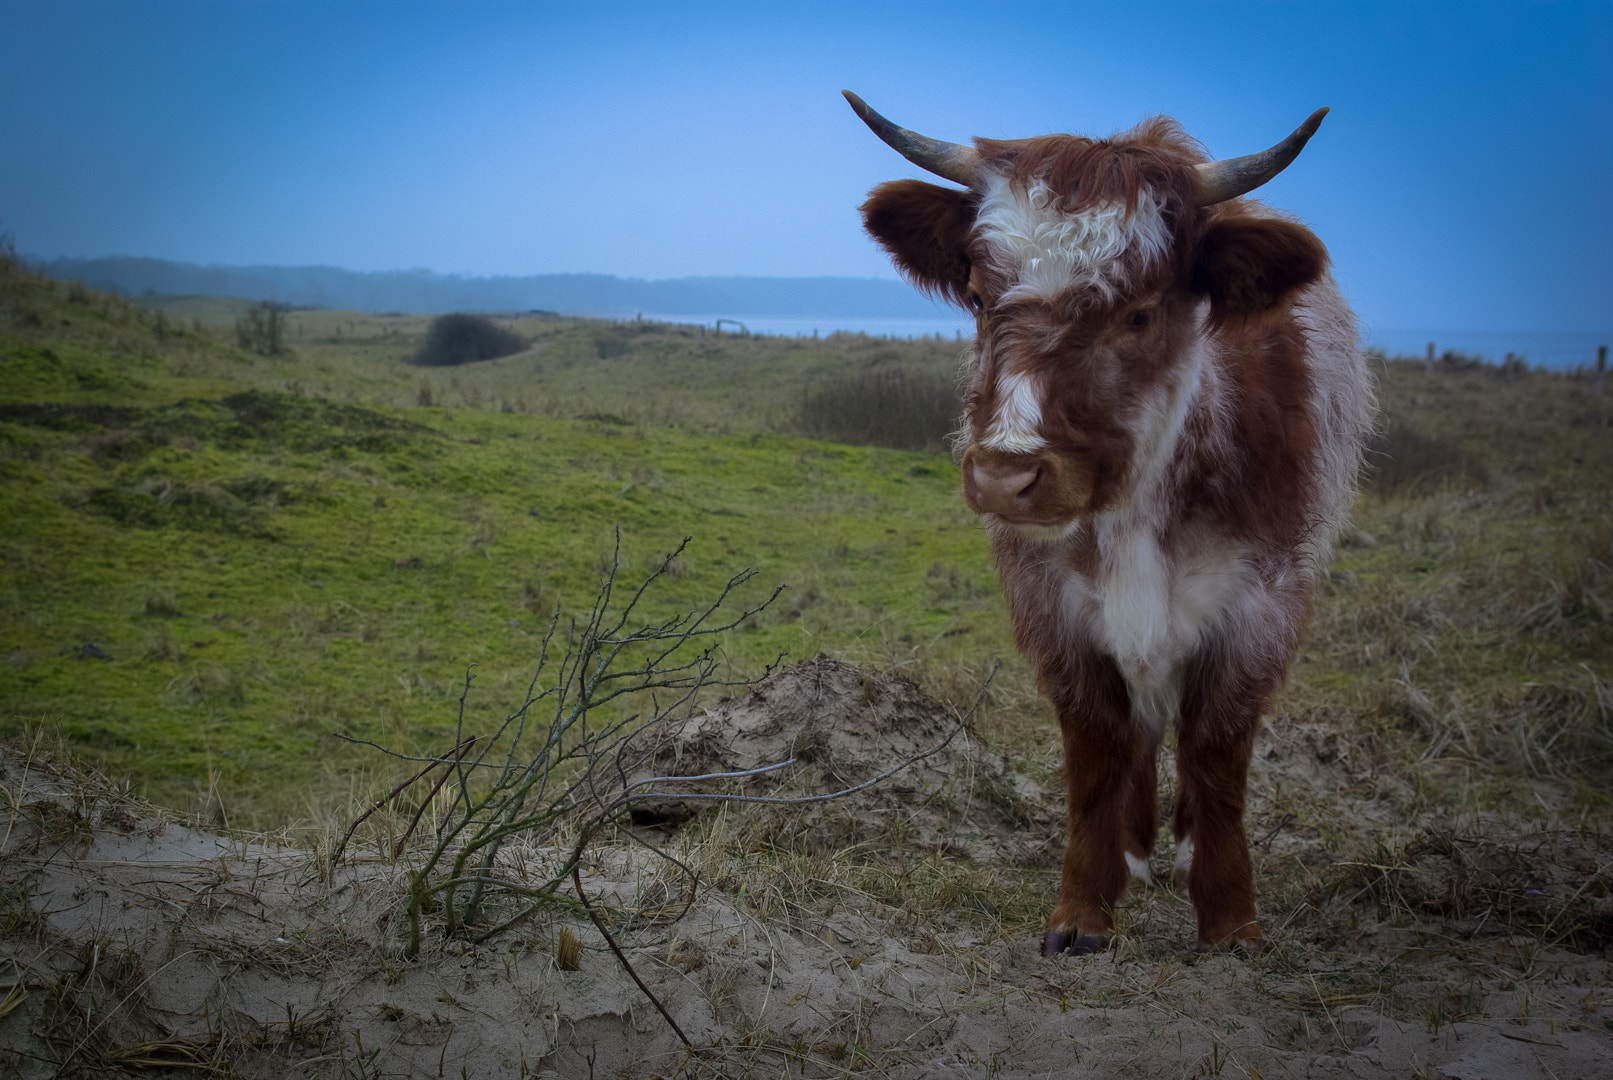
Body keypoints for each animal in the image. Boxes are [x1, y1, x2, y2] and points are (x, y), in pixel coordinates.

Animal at [845, 93, 1374, 954]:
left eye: (1137, 314)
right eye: (979, 297)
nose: (1006, 475)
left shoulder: (1259, 605)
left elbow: (1217, 748)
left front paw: (1228, 914)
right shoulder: (1054, 608)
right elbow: (1096, 748)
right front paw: (1085, 907)